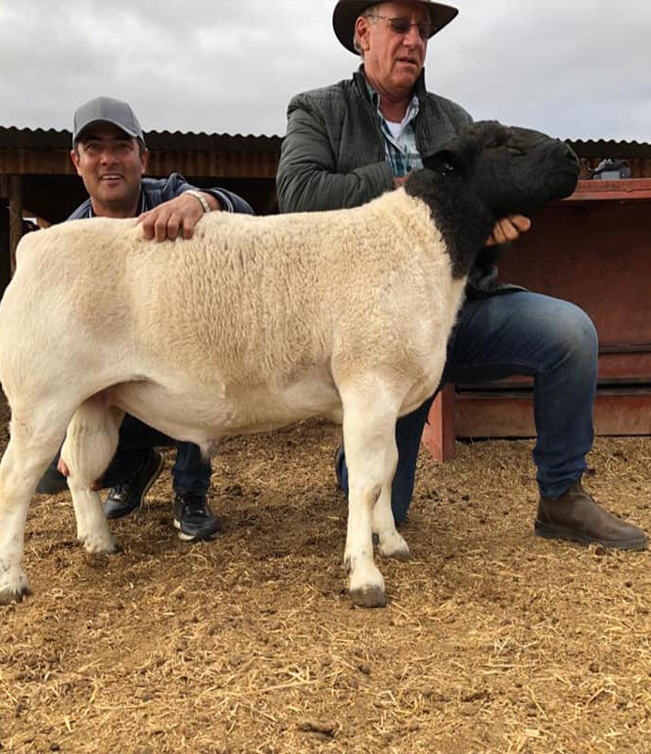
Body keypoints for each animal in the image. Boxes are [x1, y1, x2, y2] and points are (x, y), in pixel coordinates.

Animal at [0, 121, 579, 608]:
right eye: (502, 143)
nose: (573, 158)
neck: (417, 242)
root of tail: (31, 245)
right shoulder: (368, 384)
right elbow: (366, 481)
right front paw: (364, 576)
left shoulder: (387, 395)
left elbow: (388, 471)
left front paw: (391, 542)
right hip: (40, 397)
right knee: (15, 481)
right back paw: (12, 582)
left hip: (95, 397)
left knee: (79, 467)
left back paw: (98, 542)